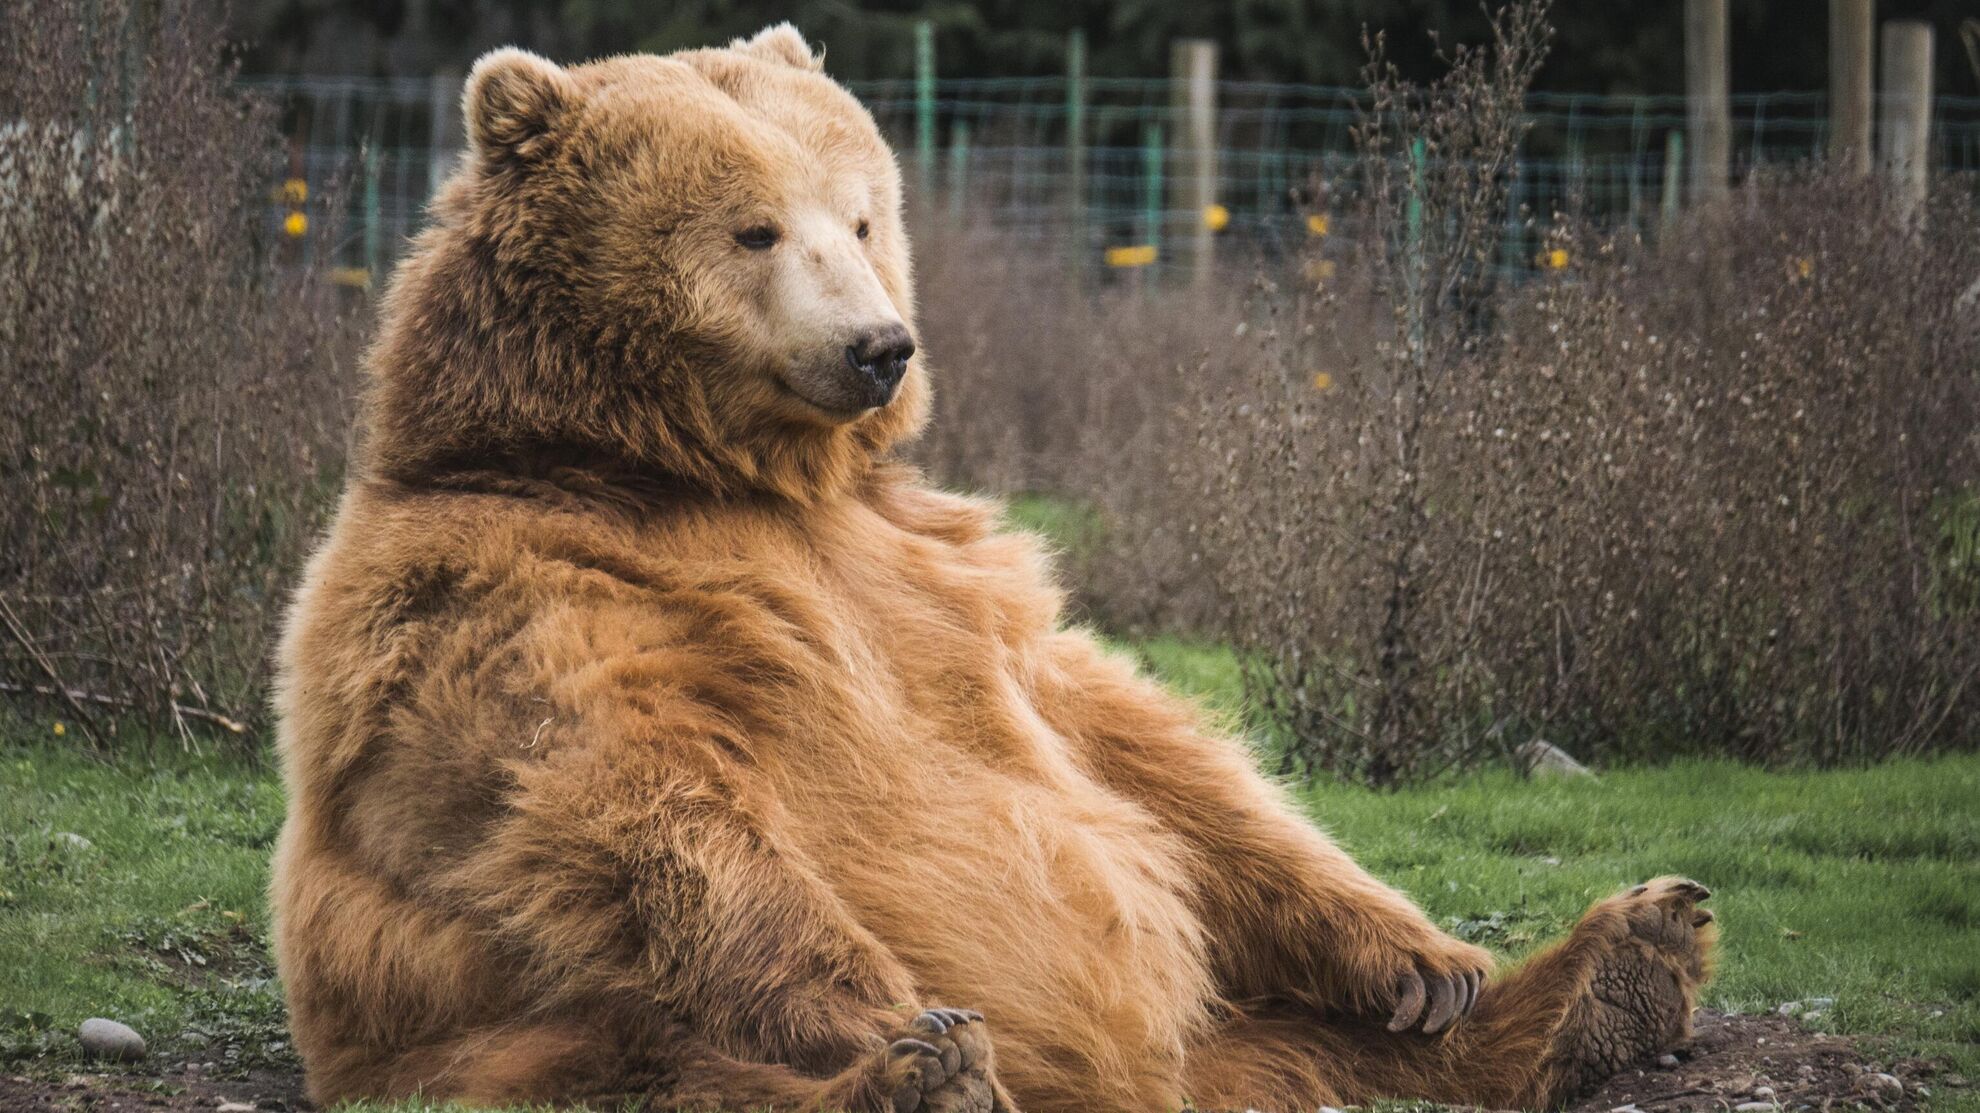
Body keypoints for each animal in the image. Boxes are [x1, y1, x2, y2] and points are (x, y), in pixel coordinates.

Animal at [275, 25, 1718, 1109]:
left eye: (862, 215)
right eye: (754, 230)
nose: (879, 346)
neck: (706, 472)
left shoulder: (941, 571)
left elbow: (1139, 746)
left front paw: (1423, 958)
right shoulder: (511, 588)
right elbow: (622, 795)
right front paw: (897, 1022)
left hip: (1236, 1029)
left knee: (1328, 1045)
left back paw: (1617, 965)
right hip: (513, 1039)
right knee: (664, 1065)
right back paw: (919, 1079)